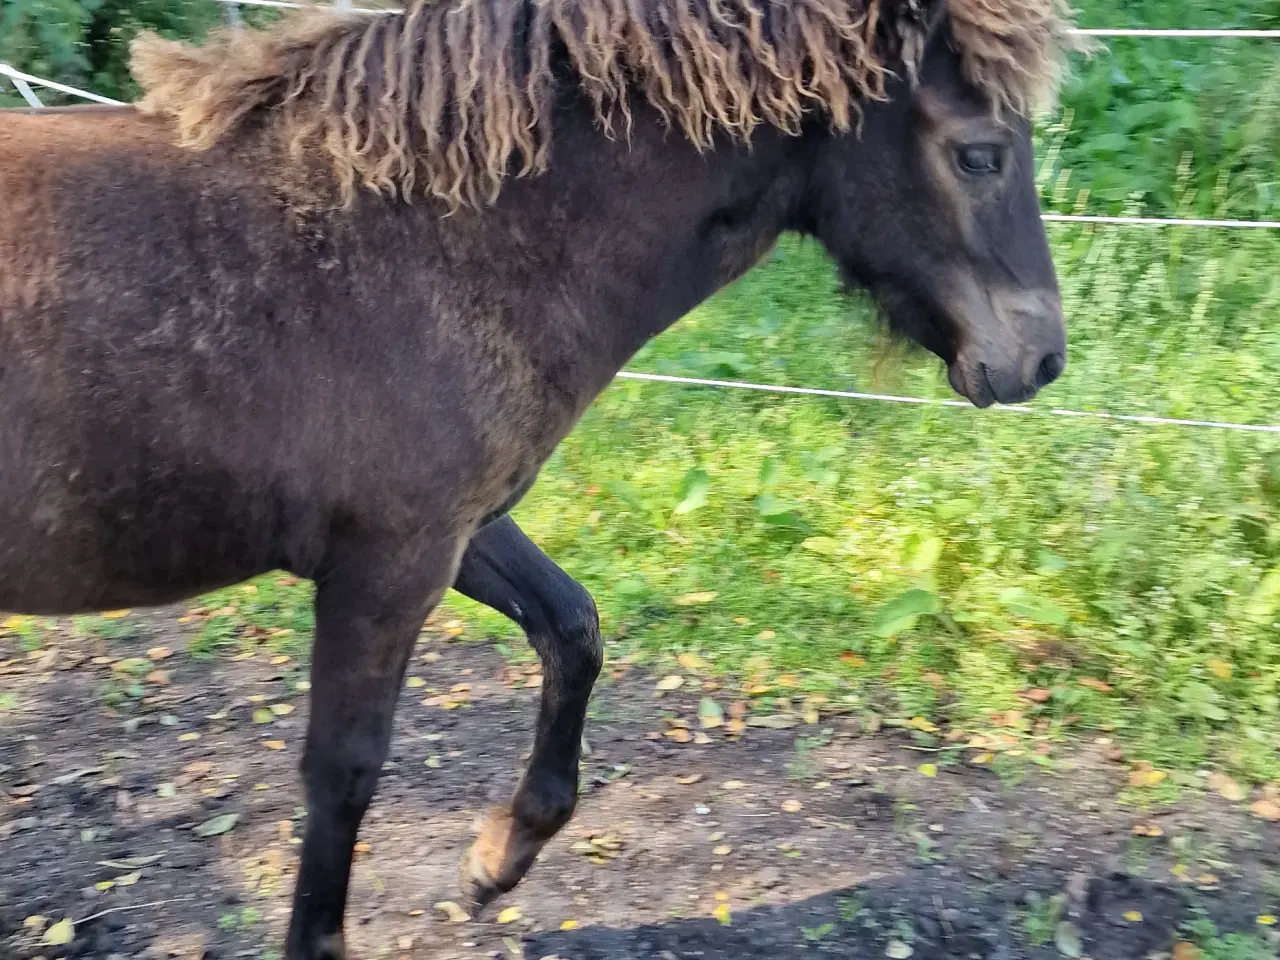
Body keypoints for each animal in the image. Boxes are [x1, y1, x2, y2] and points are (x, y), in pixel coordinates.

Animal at [0, 3, 1075, 957]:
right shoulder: (387, 567)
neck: (416, 242)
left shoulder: (459, 532)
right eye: (980, 154)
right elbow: (343, 775)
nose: (1041, 359)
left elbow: (573, 629)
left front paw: (494, 861)